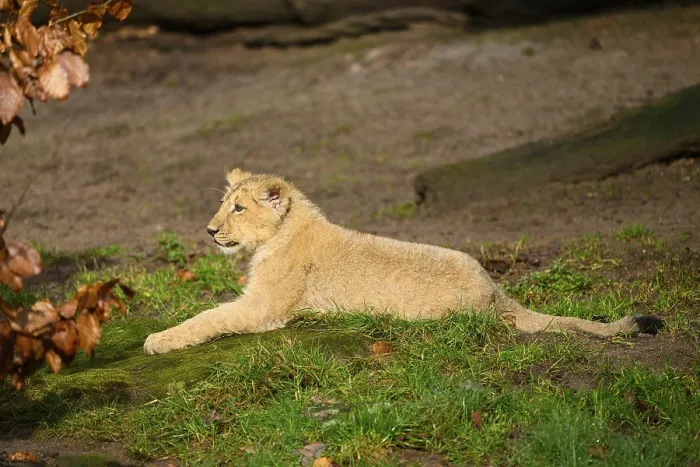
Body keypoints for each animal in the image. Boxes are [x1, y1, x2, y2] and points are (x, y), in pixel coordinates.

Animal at [143, 168, 663, 355]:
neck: (282, 232)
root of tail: (496, 290)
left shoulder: (264, 308)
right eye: (223, 204)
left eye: (237, 208)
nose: (209, 231)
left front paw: (158, 340)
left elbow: (208, 317)